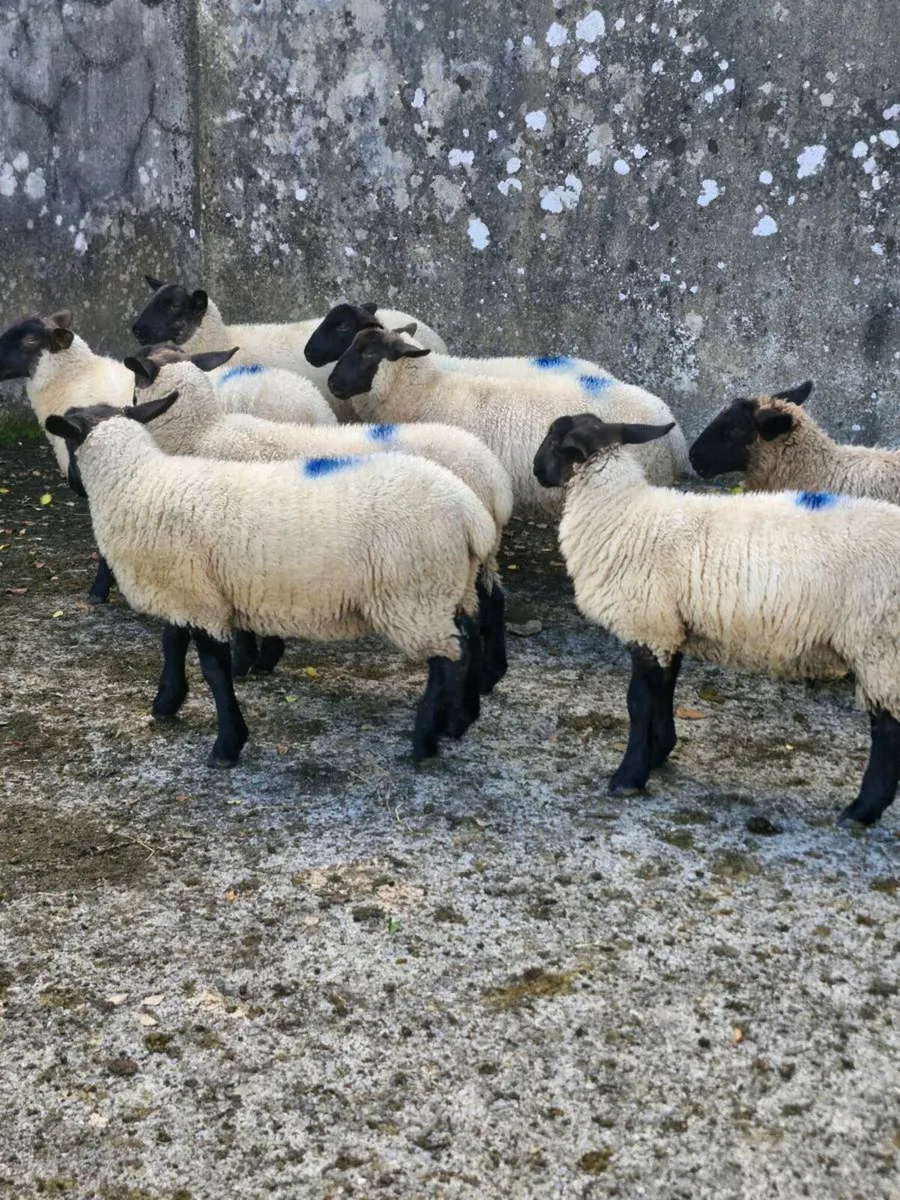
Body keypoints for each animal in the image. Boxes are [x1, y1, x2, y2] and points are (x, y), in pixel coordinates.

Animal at [44, 394, 497, 764]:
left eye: (69, 444)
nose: (72, 485)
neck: (137, 483)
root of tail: (470, 512)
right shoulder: (187, 588)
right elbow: (172, 643)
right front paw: (167, 702)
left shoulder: (199, 599)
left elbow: (213, 669)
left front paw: (227, 745)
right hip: (449, 587)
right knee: (473, 636)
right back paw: (460, 719)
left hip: (414, 594)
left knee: (451, 659)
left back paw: (426, 741)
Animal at [125, 346, 512, 692]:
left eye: (136, 383)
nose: (127, 409)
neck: (203, 433)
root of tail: (495, 478)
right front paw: (265, 657)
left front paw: (245, 662)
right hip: (475, 559)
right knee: (491, 602)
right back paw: (488, 677)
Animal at [533, 411, 900, 828]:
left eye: (553, 440)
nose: (535, 471)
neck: (624, 513)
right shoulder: (670, 625)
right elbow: (665, 692)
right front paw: (660, 751)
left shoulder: (648, 624)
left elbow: (638, 703)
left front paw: (629, 776)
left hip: (877, 641)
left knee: (887, 728)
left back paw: (862, 810)